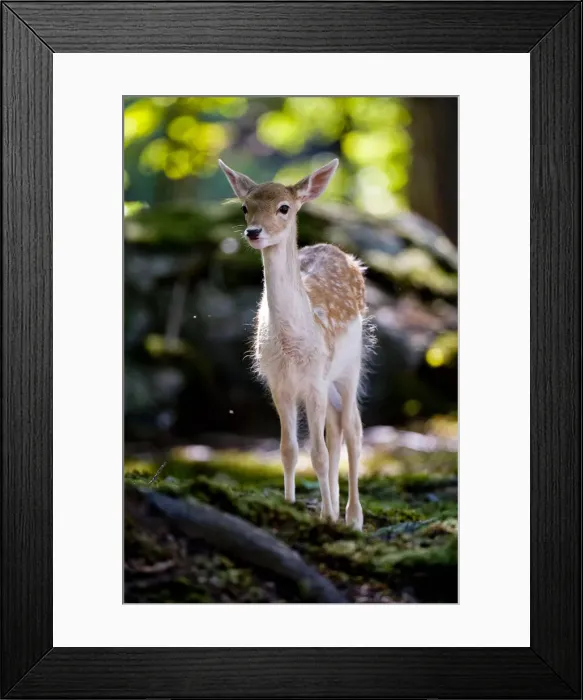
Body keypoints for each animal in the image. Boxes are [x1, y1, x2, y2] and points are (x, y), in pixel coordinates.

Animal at [219, 158, 369, 530]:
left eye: (284, 207)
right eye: (245, 207)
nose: (253, 232)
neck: (291, 344)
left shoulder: (315, 379)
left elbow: (318, 453)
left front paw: (326, 517)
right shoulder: (279, 382)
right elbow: (289, 450)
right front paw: (289, 505)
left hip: (350, 366)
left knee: (353, 430)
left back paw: (353, 517)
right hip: (329, 383)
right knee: (337, 428)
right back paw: (337, 509)